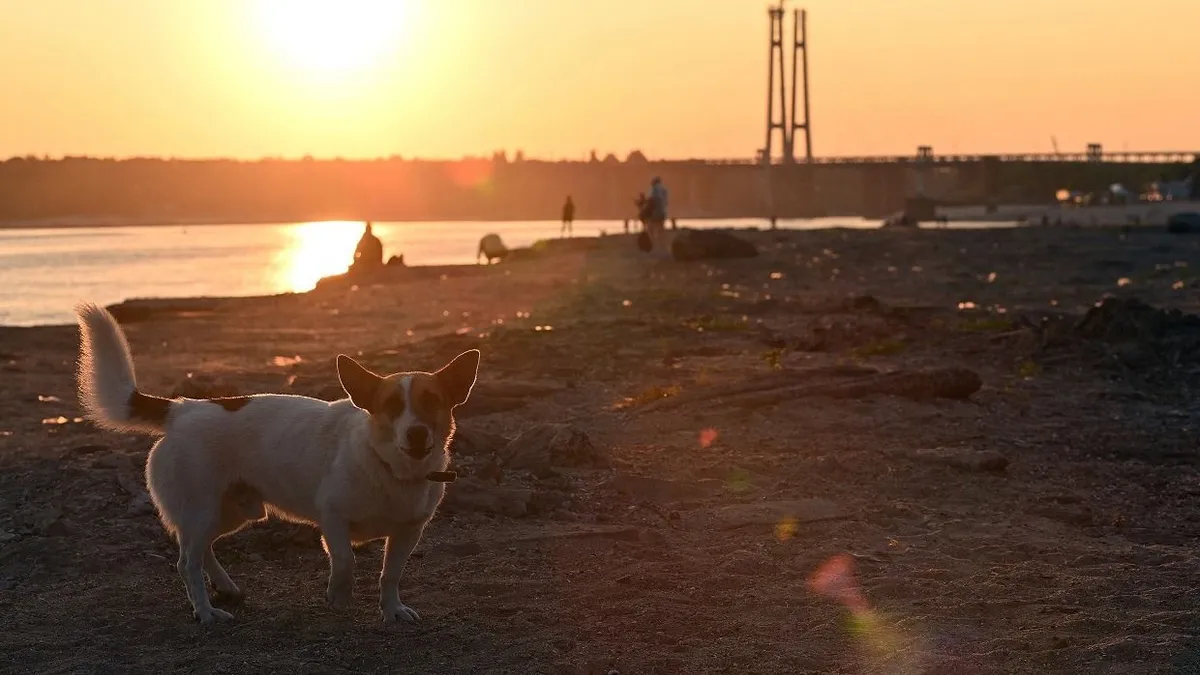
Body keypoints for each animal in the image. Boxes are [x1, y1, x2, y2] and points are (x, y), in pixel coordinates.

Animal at [72, 302, 477, 624]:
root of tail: (182, 408)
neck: (389, 468)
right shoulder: (333, 519)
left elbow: (390, 574)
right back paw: (206, 611)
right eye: (391, 406)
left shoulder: (408, 532)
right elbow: (346, 562)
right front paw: (338, 596)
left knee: (202, 550)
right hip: (201, 509)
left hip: (230, 512)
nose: (417, 434)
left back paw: (225, 587)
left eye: (432, 402)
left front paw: (391, 610)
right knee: (187, 563)